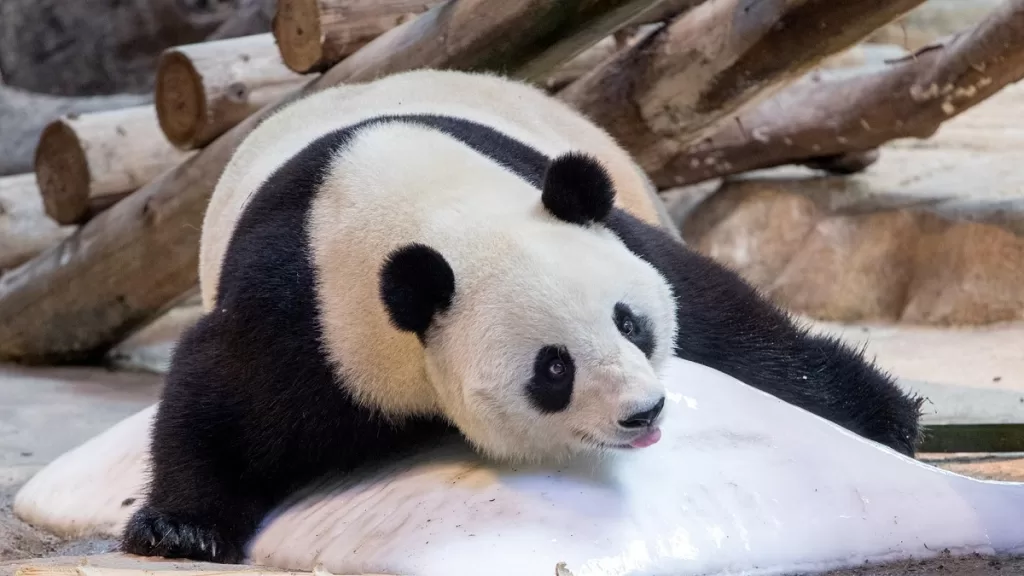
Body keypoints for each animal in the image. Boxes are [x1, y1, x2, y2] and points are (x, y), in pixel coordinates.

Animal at [120, 69, 923, 564]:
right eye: (553, 368)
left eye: (630, 323)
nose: (644, 411)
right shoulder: (311, 315)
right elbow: (219, 398)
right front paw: (180, 529)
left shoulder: (609, 228)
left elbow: (731, 326)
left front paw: (885, 420)